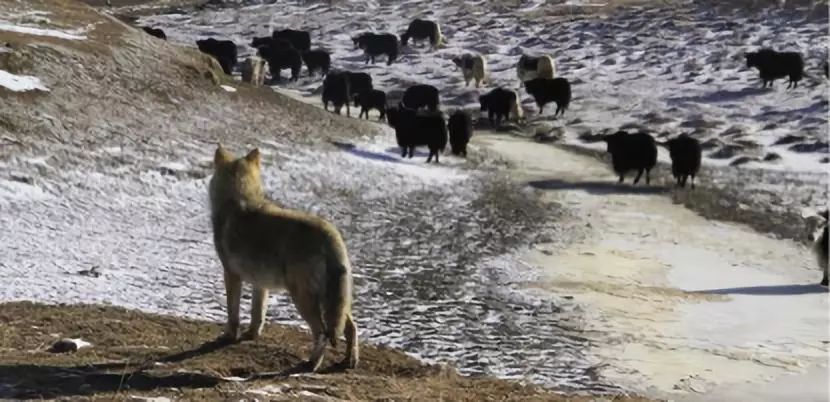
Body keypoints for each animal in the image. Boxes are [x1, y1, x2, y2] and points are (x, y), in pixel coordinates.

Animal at [208, 144, 358, 370]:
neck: (238, 199)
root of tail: (330, 235)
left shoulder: (232, 275)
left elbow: (233, 314)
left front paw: (229, 337)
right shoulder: (260, 283)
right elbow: (257, 314)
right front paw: (251, 335)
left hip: (303, 299)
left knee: (321, 333)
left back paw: (311, 364)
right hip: (333, 302)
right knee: (350, 328)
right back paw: (349, 362)